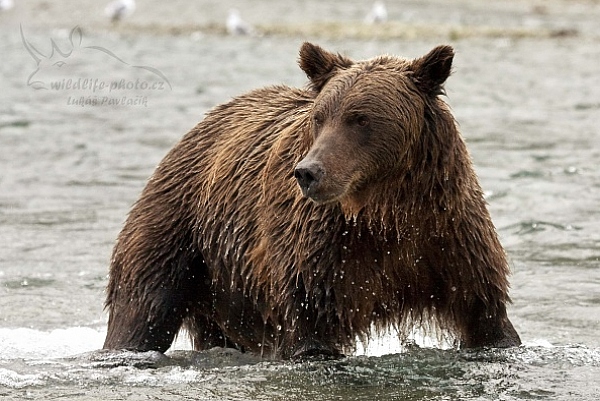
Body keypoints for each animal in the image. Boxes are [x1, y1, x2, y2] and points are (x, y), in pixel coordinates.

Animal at [103, 42, 520, 358]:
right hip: (180, 228)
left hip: (231, 284)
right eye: (320, 116)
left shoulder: (448, 236)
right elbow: (311, 327)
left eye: (360, 118)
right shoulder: (318, 249)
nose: (308, 172)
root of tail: (201, 125)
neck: (384, 211)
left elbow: (487, 317)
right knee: (143, 306)